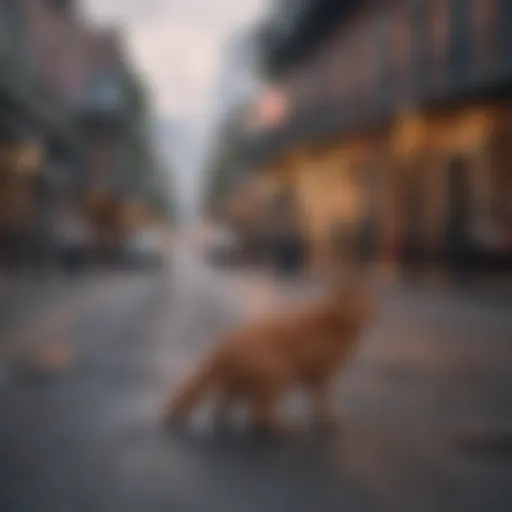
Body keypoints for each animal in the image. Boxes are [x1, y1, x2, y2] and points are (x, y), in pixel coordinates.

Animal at [164, 280, 376, 432]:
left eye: (369, 304)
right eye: (359, 304)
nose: (370, 312)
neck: (338, 319)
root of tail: (219, 348)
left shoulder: (315, 376)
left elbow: (320, 401)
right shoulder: (319, 374)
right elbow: (323, 400)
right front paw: (329, 420)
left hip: (239, 382)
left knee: (224, 404)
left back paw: (224, 421)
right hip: (277, 374)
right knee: (258, 413)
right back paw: (283, 428)